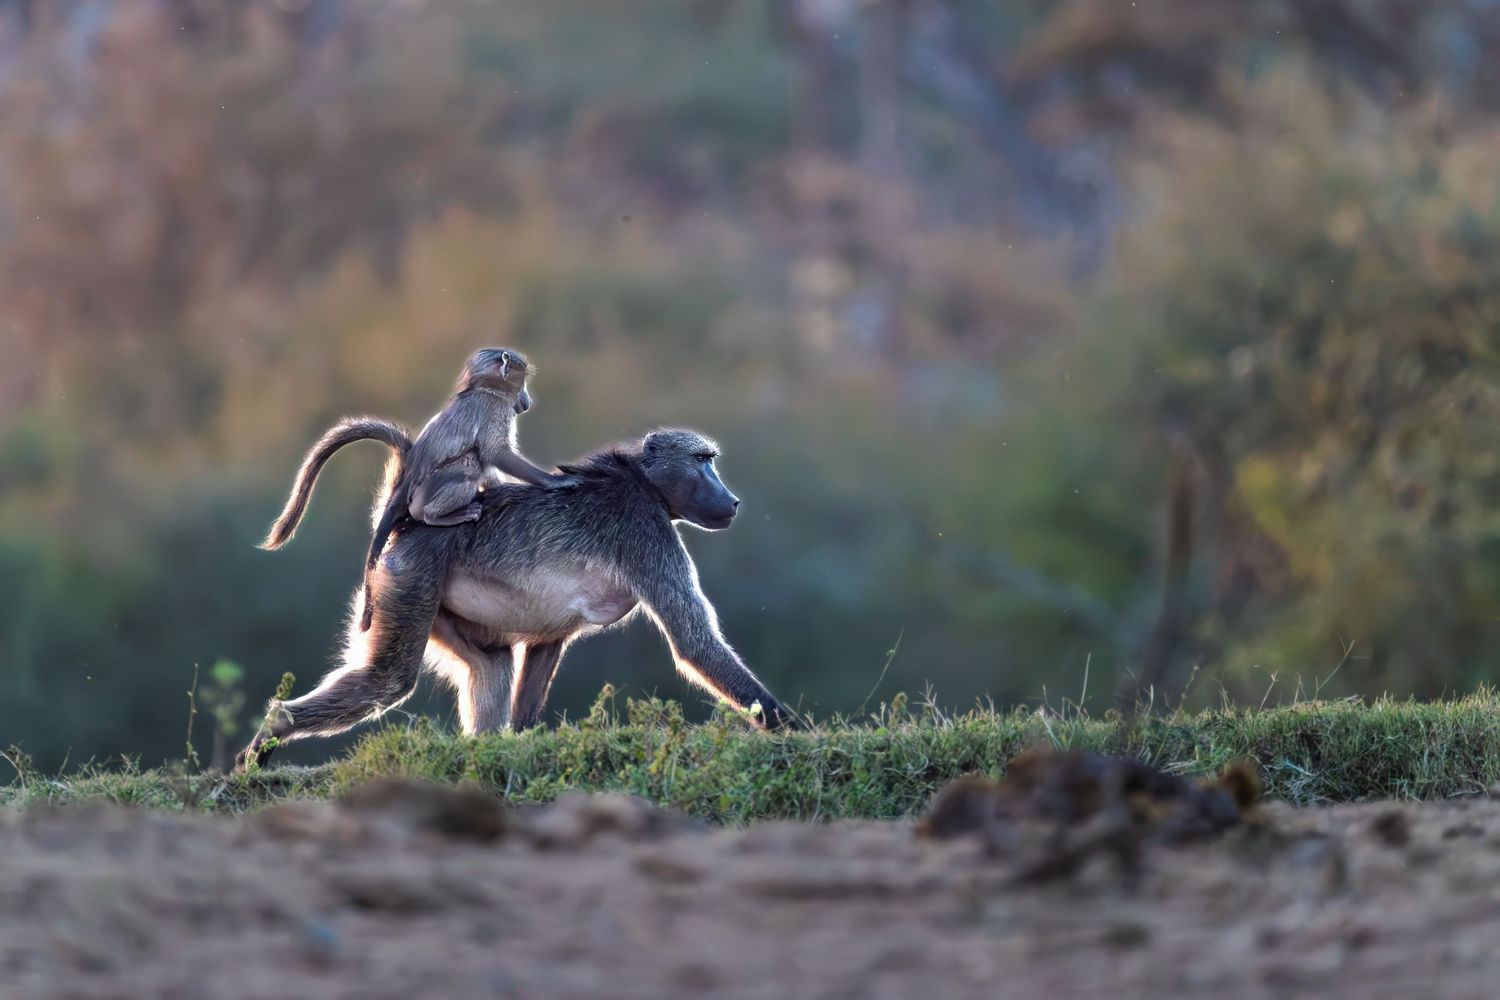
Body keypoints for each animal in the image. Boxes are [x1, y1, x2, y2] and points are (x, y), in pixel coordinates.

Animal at [238, 427, 796, 770]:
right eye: (702, 461)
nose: (732, 501)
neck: (642, 482)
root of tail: (412, 519)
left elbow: (544, 651)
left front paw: (522, 748)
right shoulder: (645, 531)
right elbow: (694, 642)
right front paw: (795, 731)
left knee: (490, 666)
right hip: (409, 578)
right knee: (388, 679)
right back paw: (266, 739)